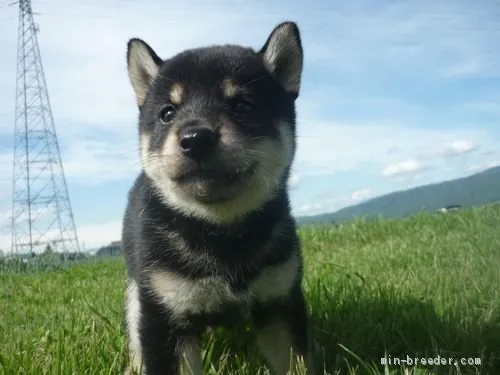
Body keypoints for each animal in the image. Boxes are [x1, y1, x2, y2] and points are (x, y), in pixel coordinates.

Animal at [121, 21, 314, 375]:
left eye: (242, 106)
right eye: (167, 113)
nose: (195, 138)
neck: (219, 232)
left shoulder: (279, 301)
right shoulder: (163, 314)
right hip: (137, 293)